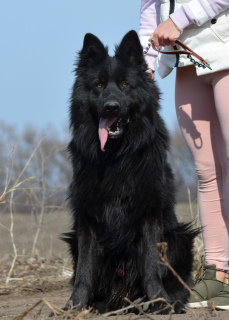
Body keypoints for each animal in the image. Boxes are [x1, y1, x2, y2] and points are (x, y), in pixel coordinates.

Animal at [63, 30, 199, 316]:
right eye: (99, 86)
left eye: (125, 85)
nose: (111, 107)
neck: (116, 157)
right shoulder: (87, 215)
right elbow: (84, 270)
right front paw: (74, 306)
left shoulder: (149, 212)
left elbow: (151, 265)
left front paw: (159, 302)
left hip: (180, 237)